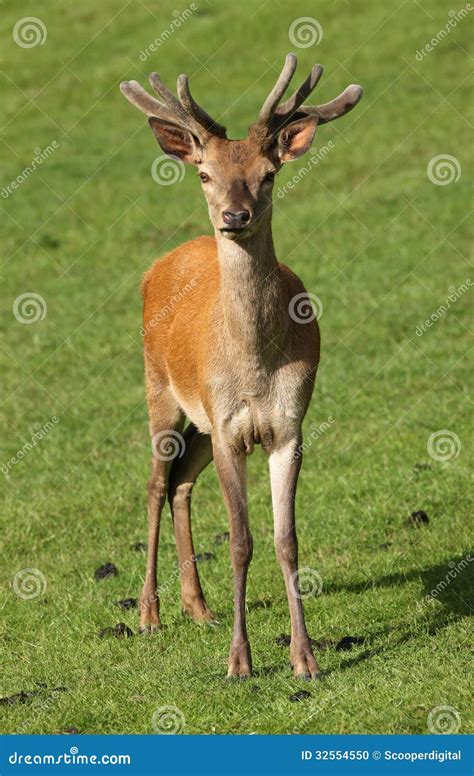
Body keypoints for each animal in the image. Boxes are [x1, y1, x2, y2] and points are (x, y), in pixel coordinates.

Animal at [120, 53, 362, 680]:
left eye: (269, 172)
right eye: (204, 174)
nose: (235, 214)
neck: (255, 366)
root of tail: (162, 262)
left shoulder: (286, 427)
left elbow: (285, 539)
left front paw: (305, 659)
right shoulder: (230, 431)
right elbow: (239, 541)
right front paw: (240, 662)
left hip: (203, 422)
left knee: (181, 482)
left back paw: (197, 606)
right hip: (161, 389)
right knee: (155, 483)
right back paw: (150, 614)